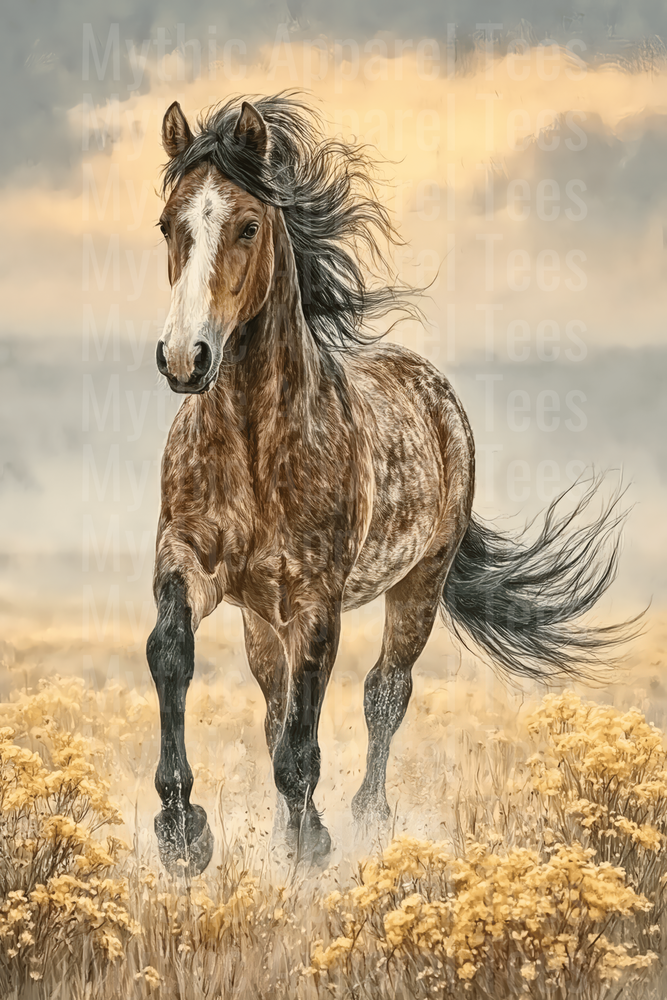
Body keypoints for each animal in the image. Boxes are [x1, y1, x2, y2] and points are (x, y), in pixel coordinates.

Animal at [147, 94, 631, 875]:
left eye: (247, 225)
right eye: (169, 224)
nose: (185, 358)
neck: (254, 443)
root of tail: (436, 392)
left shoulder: (316, 596)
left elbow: (305, 738)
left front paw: (310, 847)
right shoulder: (192, 561)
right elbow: (175, 655)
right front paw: (181, 829)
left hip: (418, 584)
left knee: (385, 693)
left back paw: (369, 820)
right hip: (261, 617)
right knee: (275, 701)